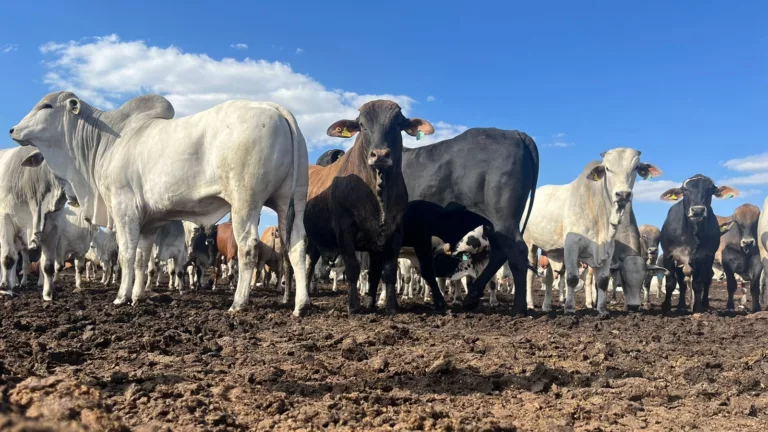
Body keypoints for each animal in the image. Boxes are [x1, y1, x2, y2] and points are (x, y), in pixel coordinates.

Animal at [0, 147, 65, 296]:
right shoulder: (5, 218)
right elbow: (8, 258)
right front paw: (5, 288)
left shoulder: (53, 227)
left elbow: (47, 264)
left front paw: (48, 292)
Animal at [302, 99, 432, 312]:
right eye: (362, 125)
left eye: (398, 123)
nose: (380, 155)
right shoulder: (344, 229)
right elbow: (353, 268)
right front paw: (353, 306)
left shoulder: (393, 232)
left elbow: (385, 270)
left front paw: (388, 305)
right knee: (304, 264)